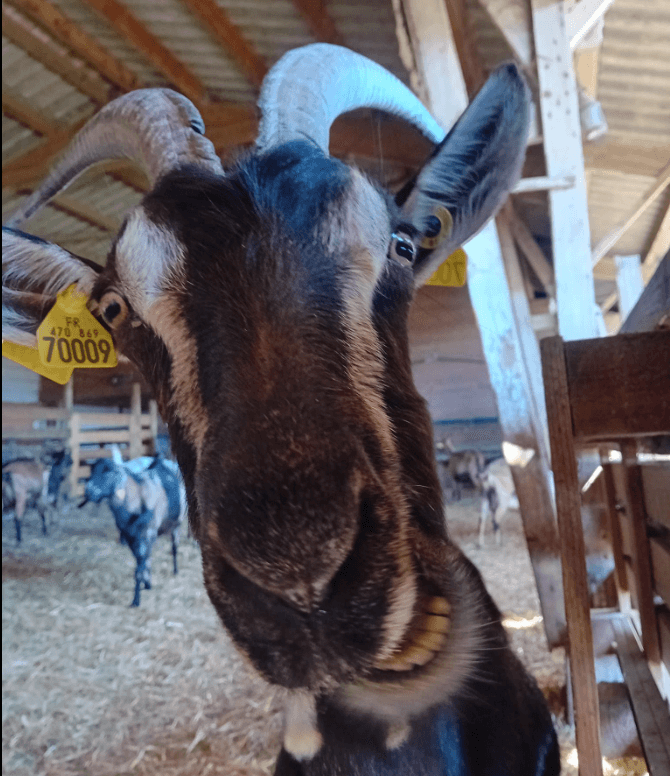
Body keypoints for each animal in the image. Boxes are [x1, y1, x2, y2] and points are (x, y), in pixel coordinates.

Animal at [81, 455, 186, 606]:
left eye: (109, 472)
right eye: (91, 471)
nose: (88, 491)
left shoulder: (148, 533)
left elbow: (139, 568)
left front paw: (136, 600)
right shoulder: (130, 536)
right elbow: (142, 562)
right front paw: (146, 584)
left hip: (177, 524)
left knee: (174, 547)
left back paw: (176, 570)